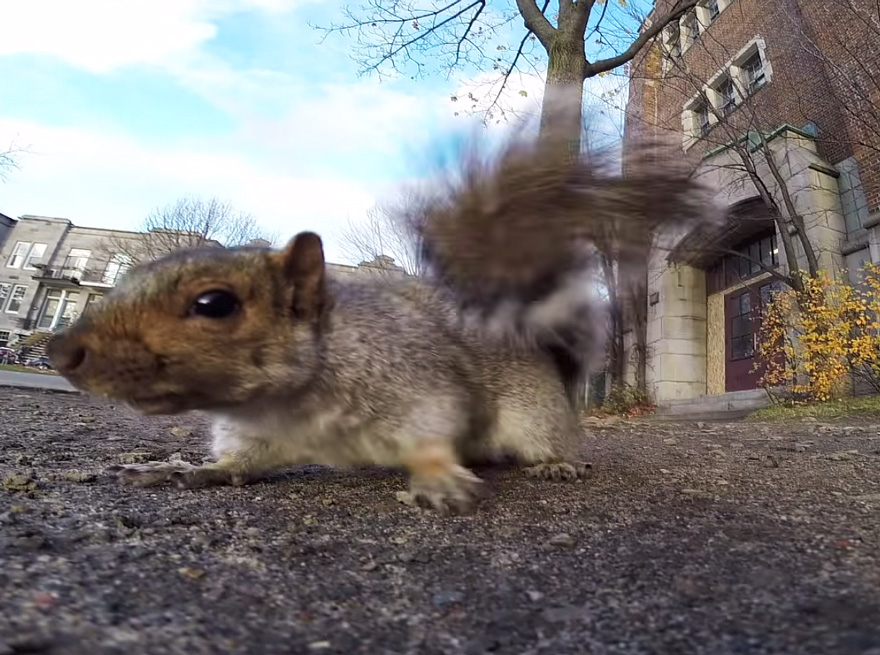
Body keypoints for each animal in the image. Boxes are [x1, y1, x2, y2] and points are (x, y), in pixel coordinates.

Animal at [47, 131, 719, 514]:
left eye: (215, 304)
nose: (59, 352)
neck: (286, 400)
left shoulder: (417, 383)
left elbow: (432, 432)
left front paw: (436, 478)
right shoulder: (254, 433)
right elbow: (238, 464)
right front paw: (183, 471)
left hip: (533, 415)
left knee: (546, 440)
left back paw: (557, 462)